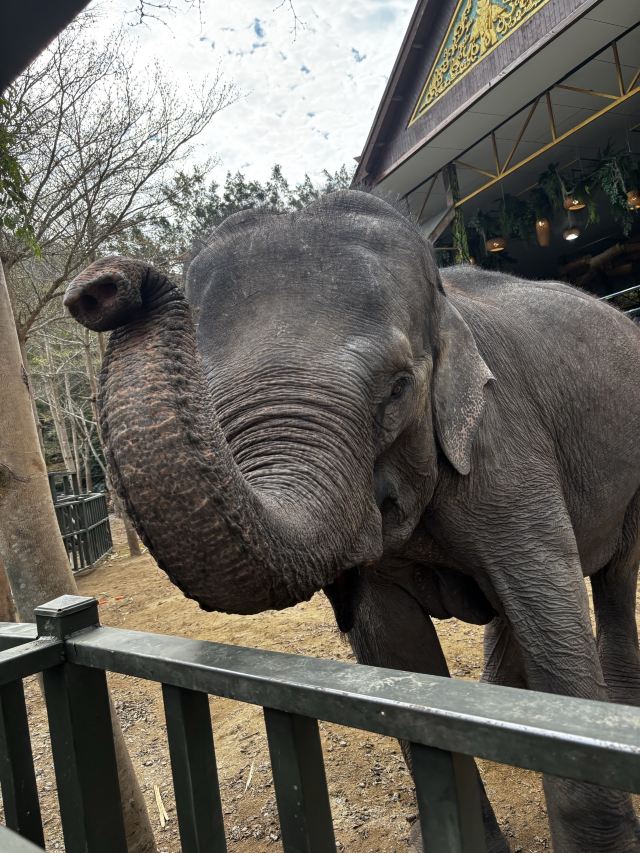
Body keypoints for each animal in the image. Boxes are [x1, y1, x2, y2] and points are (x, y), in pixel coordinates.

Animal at [63, 191, 640, 852]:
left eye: (397, 388)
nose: (101, 288)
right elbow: (396, 650)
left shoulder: (505, 443)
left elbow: (550, 614)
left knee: (615, 577)